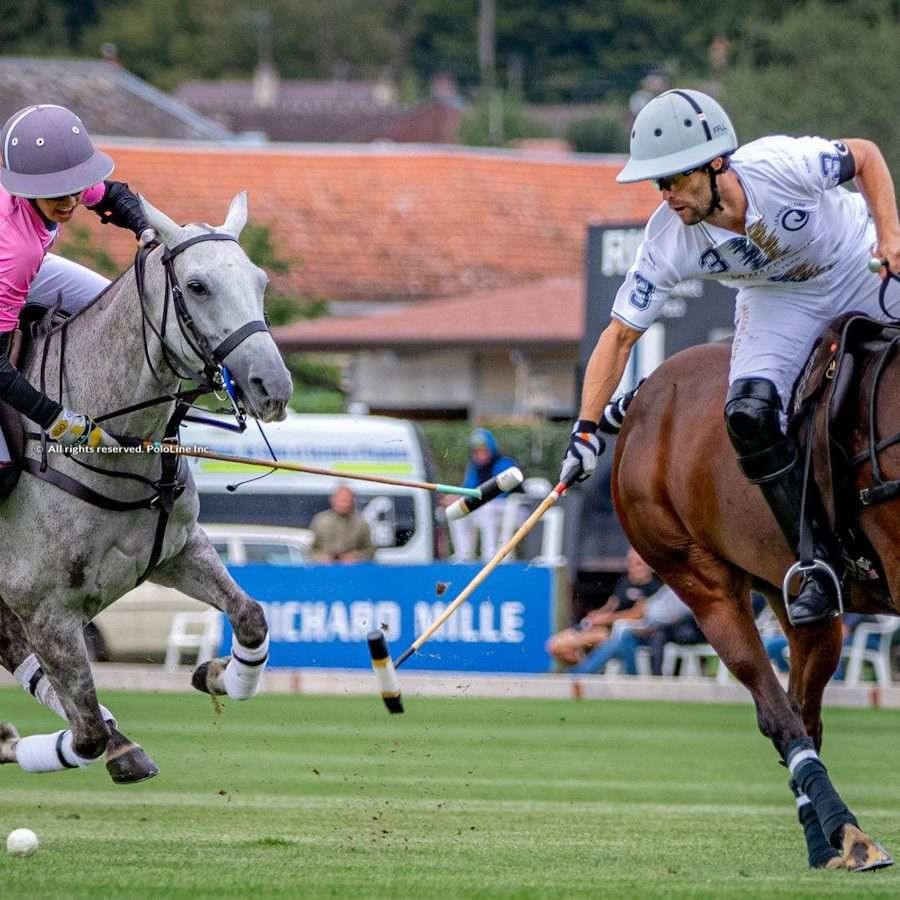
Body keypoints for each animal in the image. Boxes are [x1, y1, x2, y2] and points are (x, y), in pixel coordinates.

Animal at [0, 192, 290, 780]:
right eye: (197, 286)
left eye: (261, 280)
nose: (272, 386)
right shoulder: (45, 610)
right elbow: (85, 733)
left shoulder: (177, 551)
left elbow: (250, 616)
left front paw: (217, 674)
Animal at [616, 338, 896, 872]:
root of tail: (649, 388)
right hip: (702, 581)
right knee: (779, 715)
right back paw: (851, 837)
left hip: (793, 596)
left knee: (803, 709)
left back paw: (824, 841)